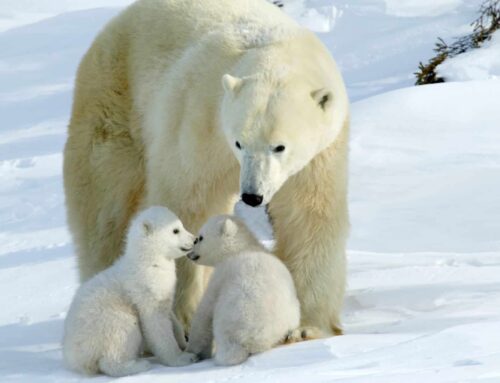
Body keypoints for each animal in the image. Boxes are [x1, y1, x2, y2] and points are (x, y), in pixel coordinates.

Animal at [61, 207, 197, 378]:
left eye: (181, 225)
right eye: (175, 230)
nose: (195, 239)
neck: (148, 261)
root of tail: (74, 357)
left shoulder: (163, 290)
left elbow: (170, 316)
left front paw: (184, 342)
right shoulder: (145, 288)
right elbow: (156, 323)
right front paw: (182, 358)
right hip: (107, 321)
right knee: (120, 338)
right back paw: (138, 365)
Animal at [64, 0, 350, 338]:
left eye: (279, 146)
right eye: (239, 142)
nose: (252, 196)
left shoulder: (319, 154)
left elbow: (308, 216)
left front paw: (308, 326)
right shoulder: (200, 118)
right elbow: (188, 202)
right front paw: (184, 317)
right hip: (114, 102)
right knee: (105, 209)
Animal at [186, 216, 298, 366]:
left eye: (200, 237)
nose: (189, 254)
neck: (243, 247)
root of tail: (253, 341)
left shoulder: (223, 273)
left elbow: (205, 312)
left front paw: (192, 351)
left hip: (231, 318)